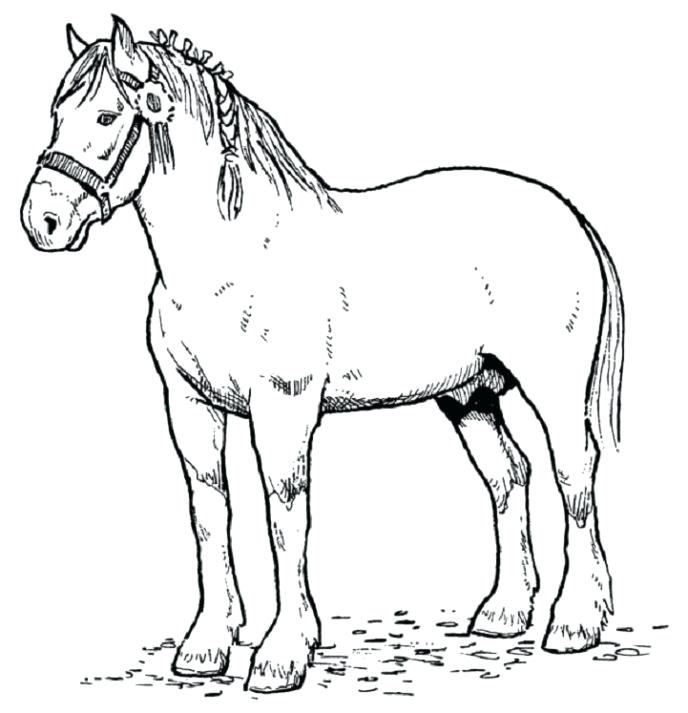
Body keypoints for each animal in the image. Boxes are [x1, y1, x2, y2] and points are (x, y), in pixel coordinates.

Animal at [20, 16, 624, 693]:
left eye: (105, 116)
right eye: (56, 113)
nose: (42, 219)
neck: (233, 257)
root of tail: (569, 217)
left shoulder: (282, 407)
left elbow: (285, 517)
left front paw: (282, 653)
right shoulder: (190, 407)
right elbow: (210, 513)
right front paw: (207, 645)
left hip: (555, 389)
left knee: (574, 475)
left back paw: (576, 622)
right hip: (467, 395)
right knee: (508, 475)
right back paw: (504, 612)